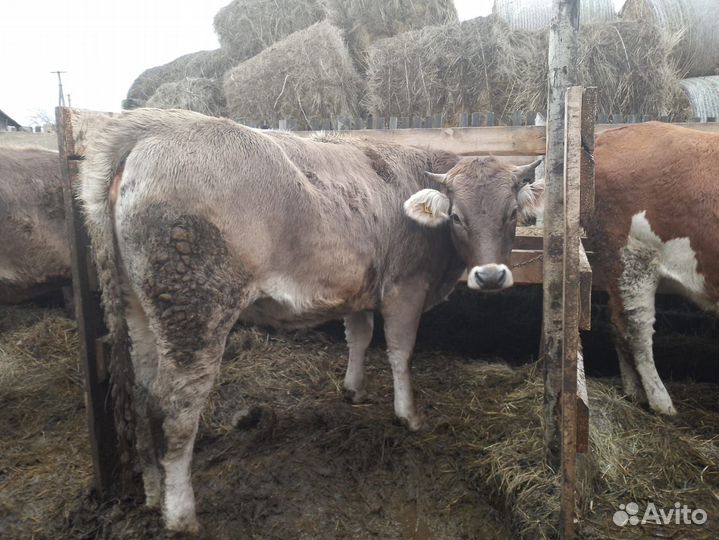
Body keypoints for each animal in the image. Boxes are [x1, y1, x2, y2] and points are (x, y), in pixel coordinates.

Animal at [78, 108, 543, 533]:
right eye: (457, 216)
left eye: (511, 214)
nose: (490, 276)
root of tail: (154, 126)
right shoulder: (404, 288)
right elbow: (400, 351)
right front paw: (408, 415)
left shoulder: (359, 288)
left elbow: (360, 337)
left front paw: (353, 389)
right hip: (196, 309)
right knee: (176, 406)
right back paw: (180, 515)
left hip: (137, 308)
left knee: (140, 394)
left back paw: (152, 492)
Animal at [583, 122, 719, 416]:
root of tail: (611, 135)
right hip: (634, 259)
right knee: (636, 330)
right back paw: (661, 402)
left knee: (618, 323)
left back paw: (635, 393)